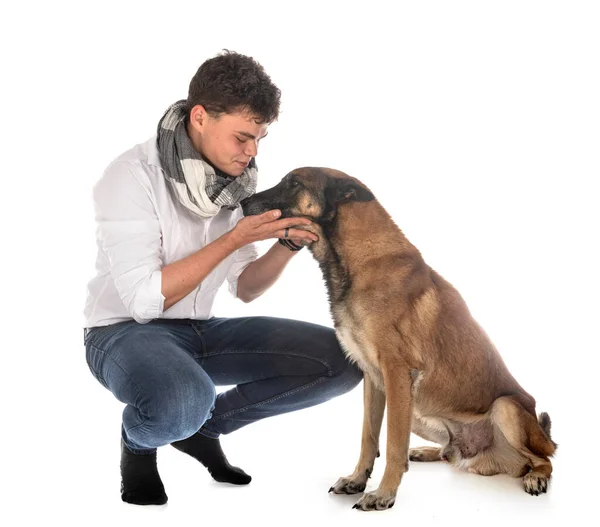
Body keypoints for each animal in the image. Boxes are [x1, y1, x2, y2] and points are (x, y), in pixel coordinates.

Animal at [240, 168, 556, 512]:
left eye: (294, 183)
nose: (242, 203)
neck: (359, 258)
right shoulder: (374, 379)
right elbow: (369, 437)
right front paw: (357, 479)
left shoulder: (397, 374)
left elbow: (391, 443)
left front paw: (383, 493)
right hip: (418, 412)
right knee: (448, 452)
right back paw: (428, 452)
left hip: (503, 408)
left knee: (545, 459)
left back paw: (535, 477)